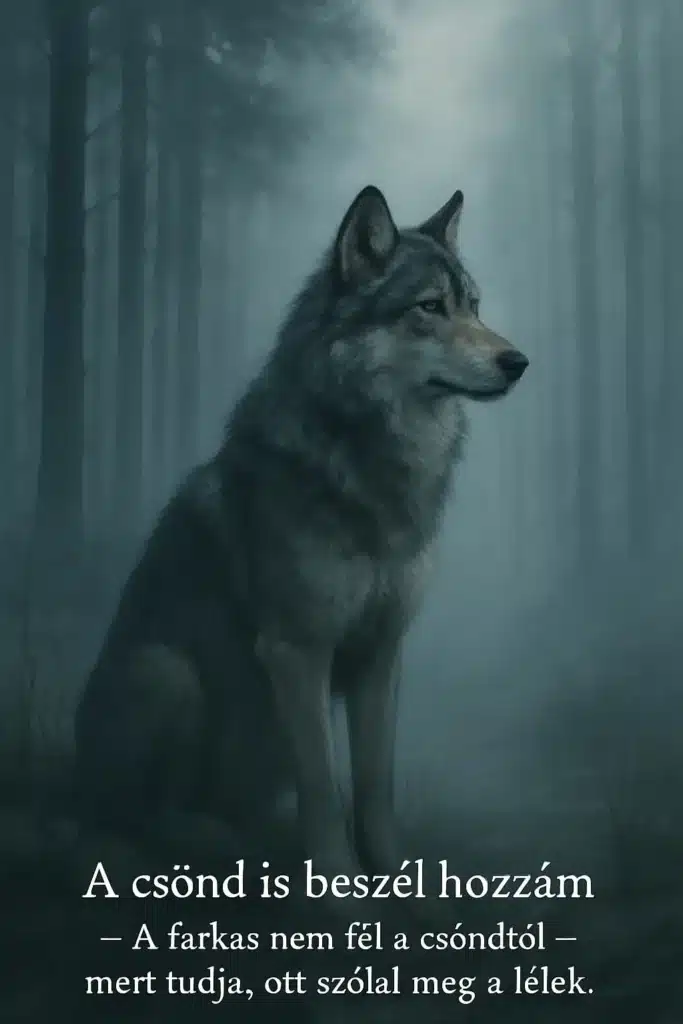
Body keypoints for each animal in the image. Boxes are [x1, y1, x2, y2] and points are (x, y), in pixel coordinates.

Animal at [74, 185, 528, 884]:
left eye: (474, 306)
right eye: (430, 307)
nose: (519, 362)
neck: (372, 467)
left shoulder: (381, 650)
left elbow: (373, 786)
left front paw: (395, 875)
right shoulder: (297, 650)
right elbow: (322, 787)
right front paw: (336, 885)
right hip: (166, 671)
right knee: (131, 820)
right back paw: (202, 841)